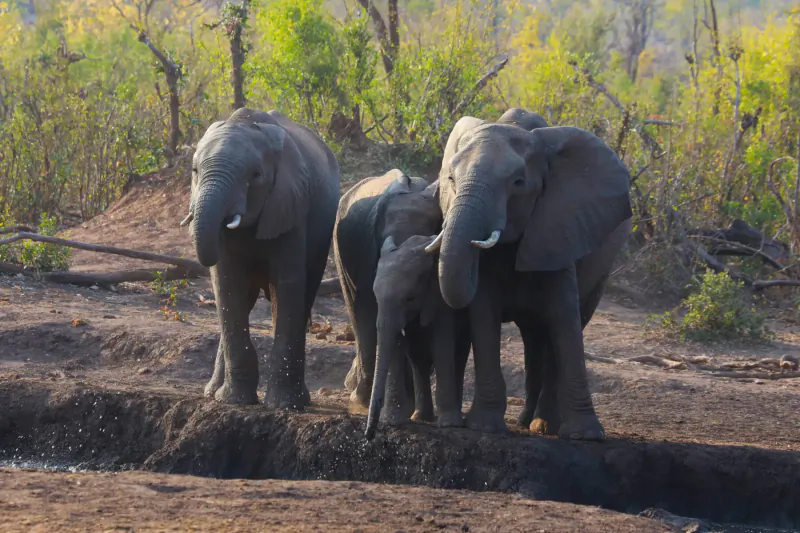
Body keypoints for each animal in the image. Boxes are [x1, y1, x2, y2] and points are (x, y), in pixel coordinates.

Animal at [181, 107, 340, 409]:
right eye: (194, 171)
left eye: (255, 176)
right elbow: (227, 285)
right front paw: (234, 401)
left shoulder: (291, 205)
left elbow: (287, 284)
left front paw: (284, 405)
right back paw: (213, 392)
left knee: (302, 293)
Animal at [334, 170, 470, 436]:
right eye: (384, 235)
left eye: (429, 228)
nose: (369, 435)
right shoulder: (371, 257)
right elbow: (394, 335)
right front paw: (394, 421)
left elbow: (442, 335)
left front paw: (449, 424)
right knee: (360, 317)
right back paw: (364, 402)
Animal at [424, 108, 632, 440]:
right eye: (451, 179)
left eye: (518, 183)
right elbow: (484, 312)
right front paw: (485, 426)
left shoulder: (559, 226)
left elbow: (564, 317)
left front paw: (586, 435)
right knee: (534, 336)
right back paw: (526, 421)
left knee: (563, 325)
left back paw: (544, 424)